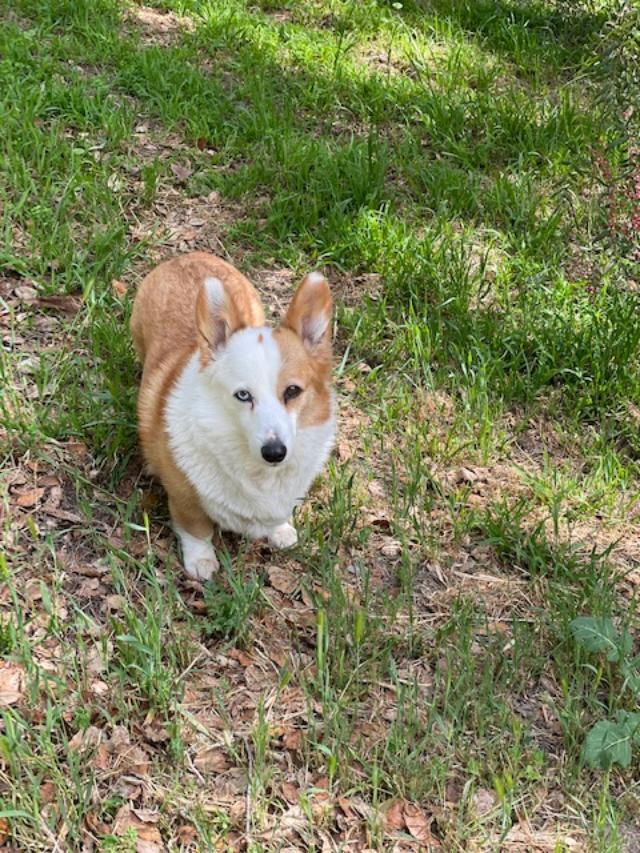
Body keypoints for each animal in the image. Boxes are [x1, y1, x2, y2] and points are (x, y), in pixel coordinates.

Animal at [132, 250, 338, 576]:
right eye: (243, 395)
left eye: (292, 391)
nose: (275, 452)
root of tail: (186, 256)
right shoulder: (184, 497)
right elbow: (196, 529)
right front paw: (201, 561)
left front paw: (281, 530)